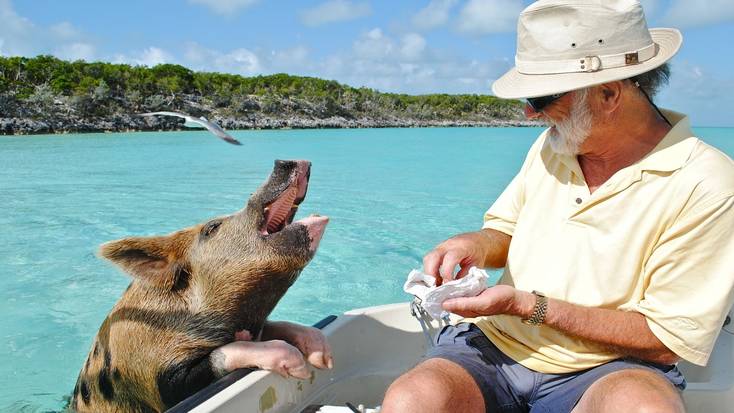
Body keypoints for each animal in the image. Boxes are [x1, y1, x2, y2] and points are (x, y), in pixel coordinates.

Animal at [69, 159, 334, 410]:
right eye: (212, 227)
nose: (284, 161)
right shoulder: (159, 380)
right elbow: (219, 356)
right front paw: (299, 366)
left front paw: (324, 357)